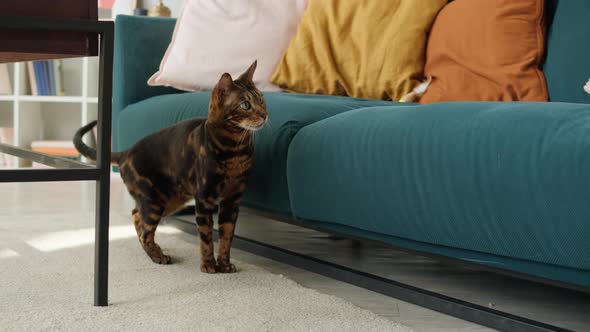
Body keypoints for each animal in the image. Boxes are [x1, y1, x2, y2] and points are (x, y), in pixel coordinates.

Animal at [73, 61, 268, 272]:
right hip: (155, 200)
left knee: (136, 216)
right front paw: (208, 265)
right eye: (245, 105)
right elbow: (207, 237)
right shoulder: (204, 198)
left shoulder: (232, 200)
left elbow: (226, 236)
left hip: (171, 199)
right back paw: (157, 255)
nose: (265, 115)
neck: (234, 150)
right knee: (145, 229)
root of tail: (126, 152)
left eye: (262, 100)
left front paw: (224, 265)